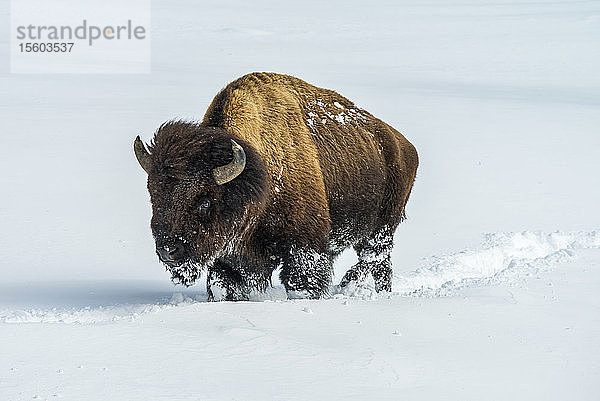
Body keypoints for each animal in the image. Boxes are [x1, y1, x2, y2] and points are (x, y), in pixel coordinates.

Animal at [135, 72, 418, 298]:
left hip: (381, 230)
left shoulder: (304, 249)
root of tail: (404, 146)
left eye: (204, 201)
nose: (168, 251)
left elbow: (303, 283)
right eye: (154, 196)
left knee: (376, 261)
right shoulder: (231, 258)